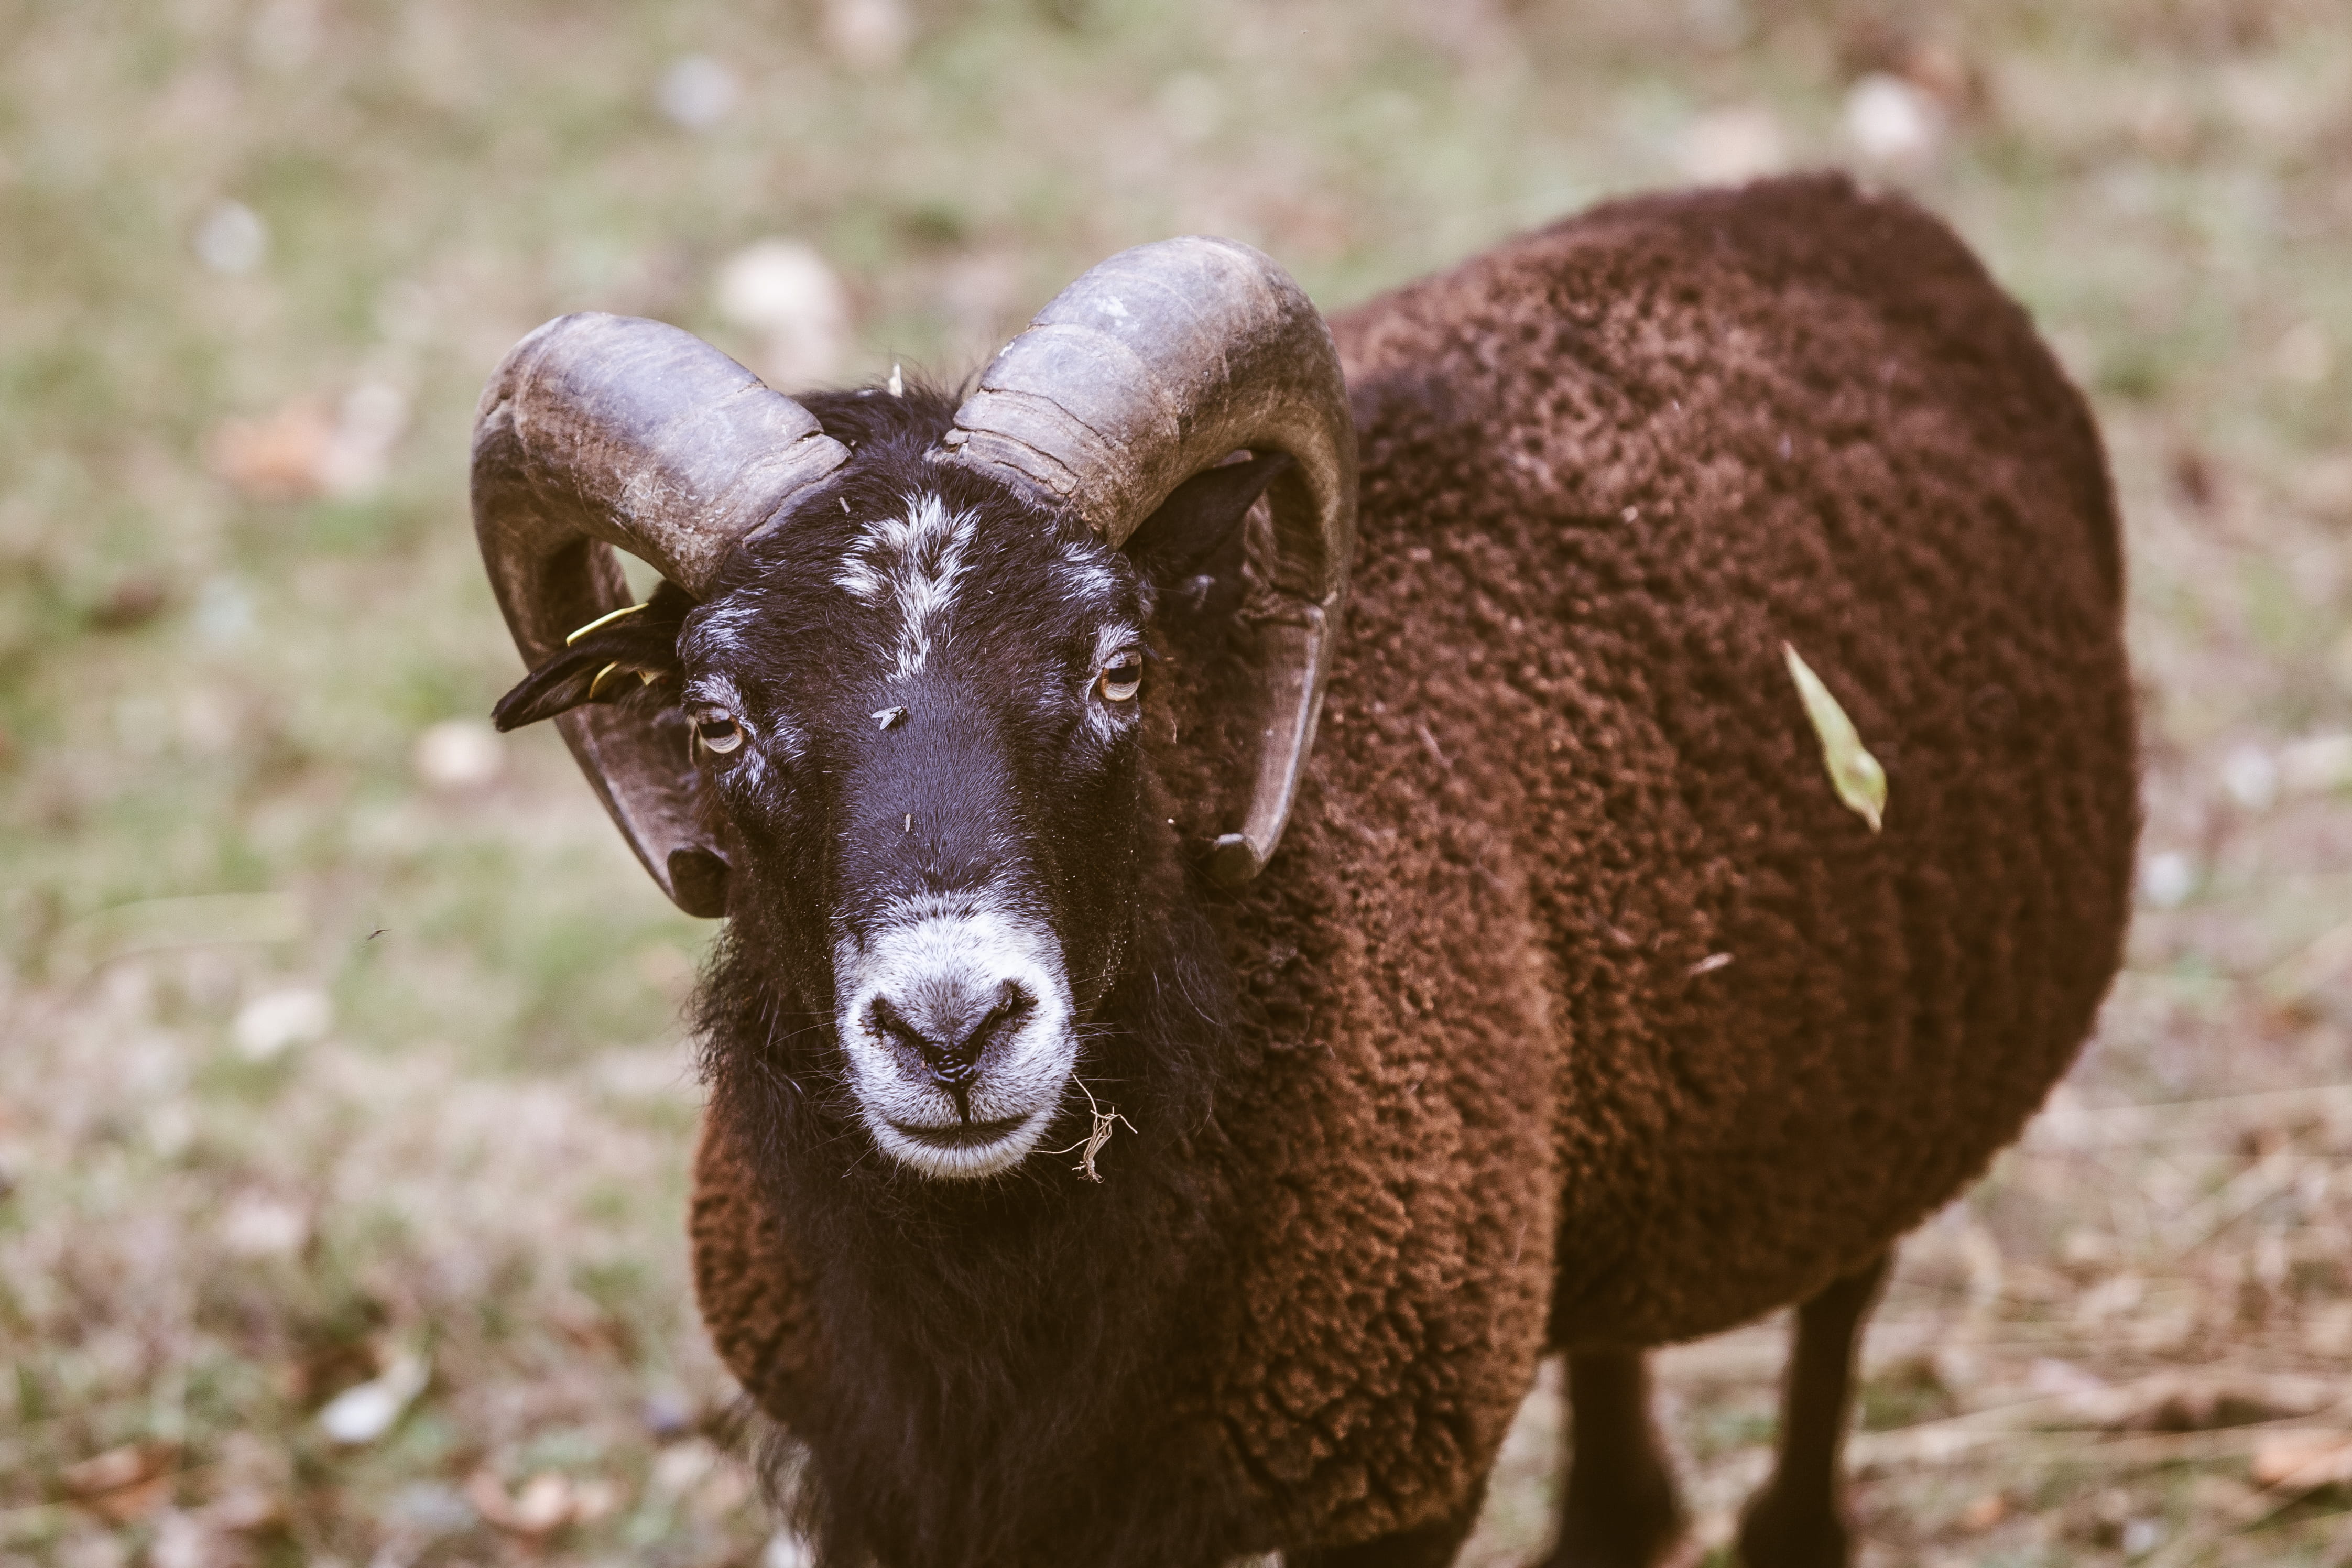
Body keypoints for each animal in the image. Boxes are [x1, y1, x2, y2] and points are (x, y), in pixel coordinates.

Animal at [472, 171, 2137, 1568]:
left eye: (1123, 670)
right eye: (716, 715)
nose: (952, 1031)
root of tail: (1842, 202)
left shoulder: (1393, 1483)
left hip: (1898, 1077)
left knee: (1841, 1306)